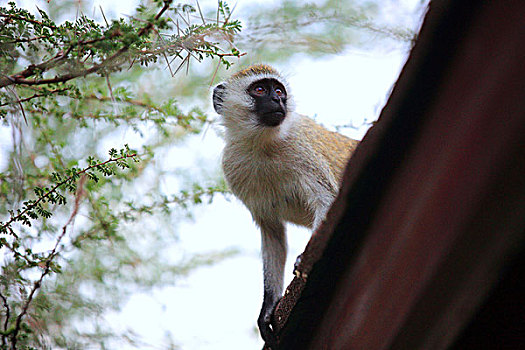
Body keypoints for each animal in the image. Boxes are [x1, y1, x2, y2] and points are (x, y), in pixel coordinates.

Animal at [212, 64, 356, 346]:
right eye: (260, 89)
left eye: (278, 91)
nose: (278, 100)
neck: (262, 145)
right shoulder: (233, 168)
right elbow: (272, 232)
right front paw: (267, 308)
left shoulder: (302, 151)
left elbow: (327, 200)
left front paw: (306, 259)